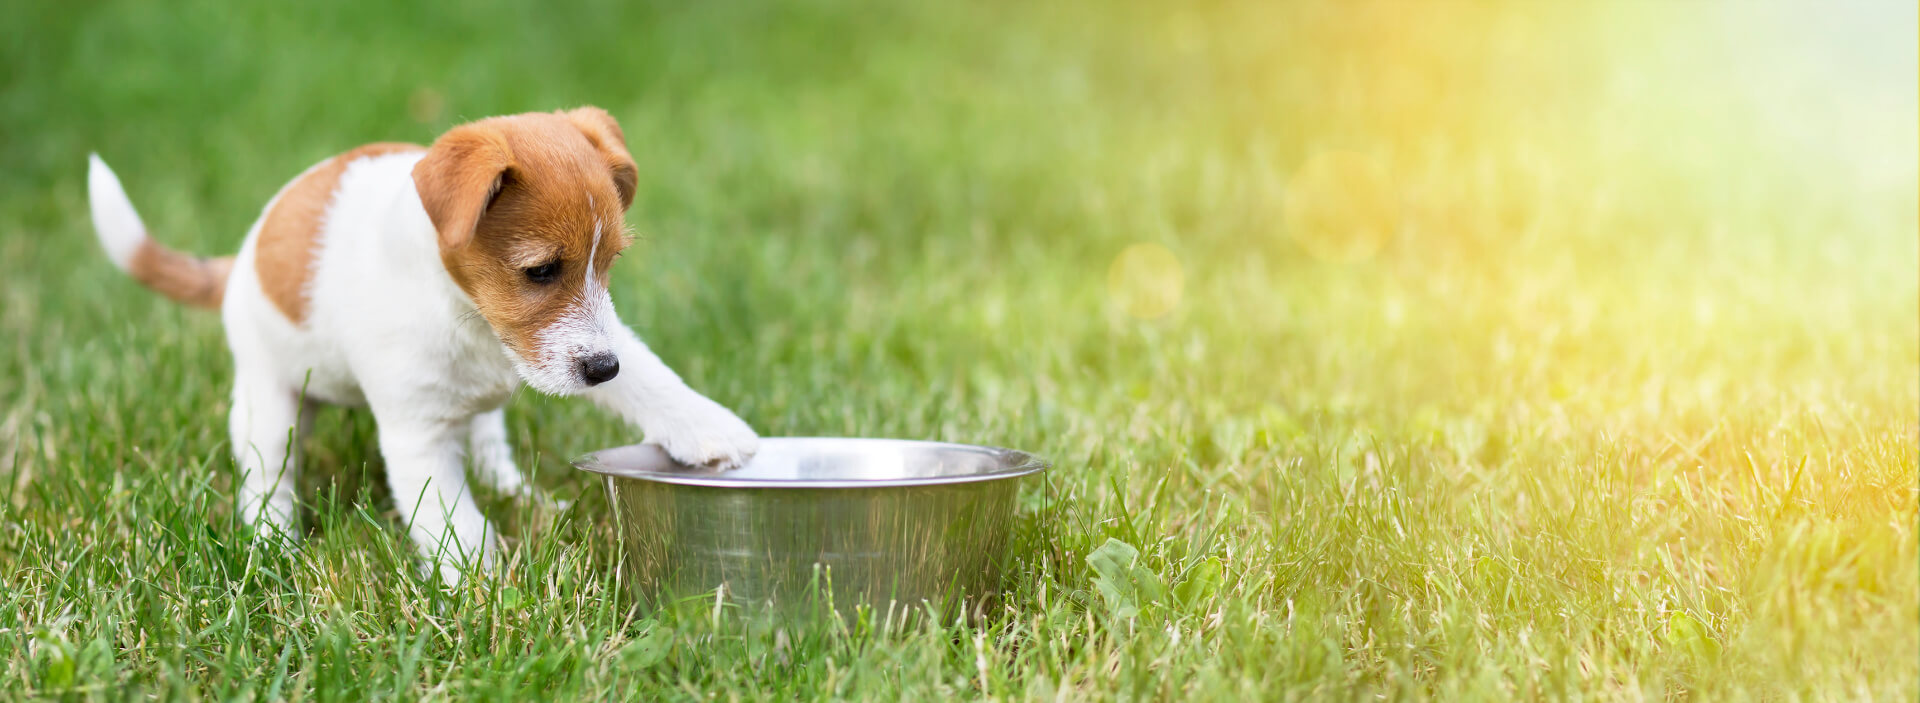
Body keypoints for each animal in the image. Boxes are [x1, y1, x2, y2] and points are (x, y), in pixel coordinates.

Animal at [90, 105, 760, 583]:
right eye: (542, 271)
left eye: (611, 261)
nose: (601, 370)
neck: (472, 320)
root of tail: (239, 262)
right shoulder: (418, 436)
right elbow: (455, 522)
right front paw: (486, 591)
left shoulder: (590, 345)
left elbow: (649, 376)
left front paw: (709, 429)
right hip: (268, 404)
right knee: (267, 478)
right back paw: (273, 545)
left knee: (487, 440)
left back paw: (517, 490)